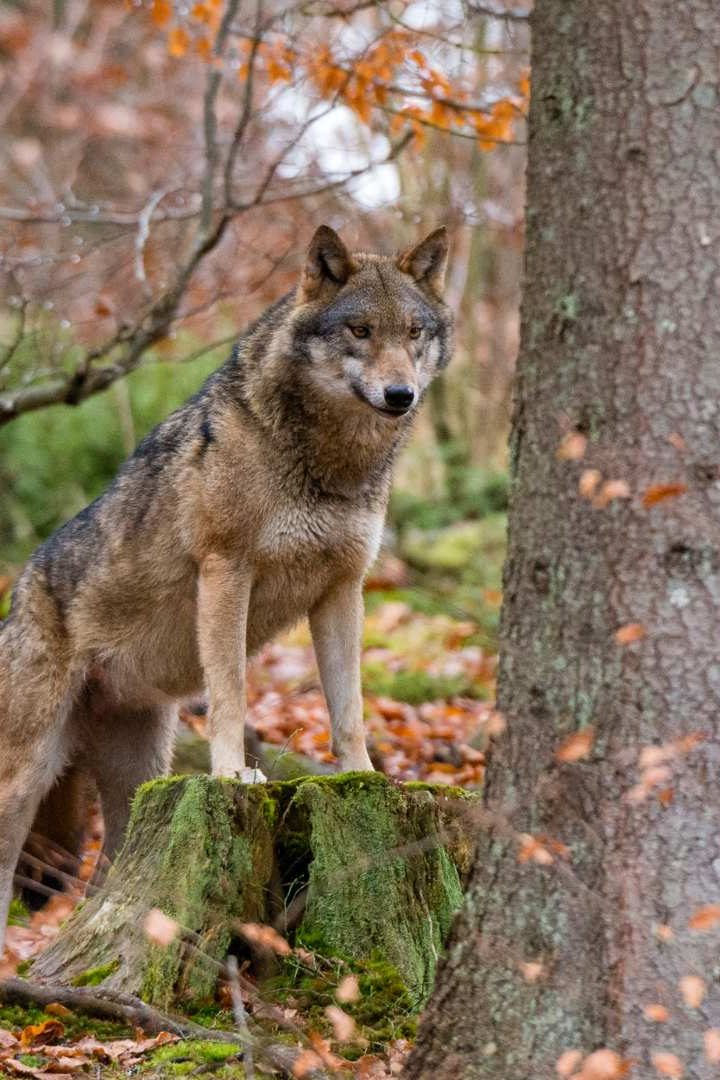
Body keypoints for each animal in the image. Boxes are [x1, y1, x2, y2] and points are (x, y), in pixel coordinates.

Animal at [0, 225, 453, 946]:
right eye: (359, 330)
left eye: (413, 332)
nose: (400, 395)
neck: (329, 463)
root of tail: (19, 591)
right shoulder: (225, 570)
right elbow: (232, 690)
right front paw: (233, 773)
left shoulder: (343, 588)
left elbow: (349, 708)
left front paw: (364, 778)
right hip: (29, 777)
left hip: (138, 779)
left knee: (107, 883)